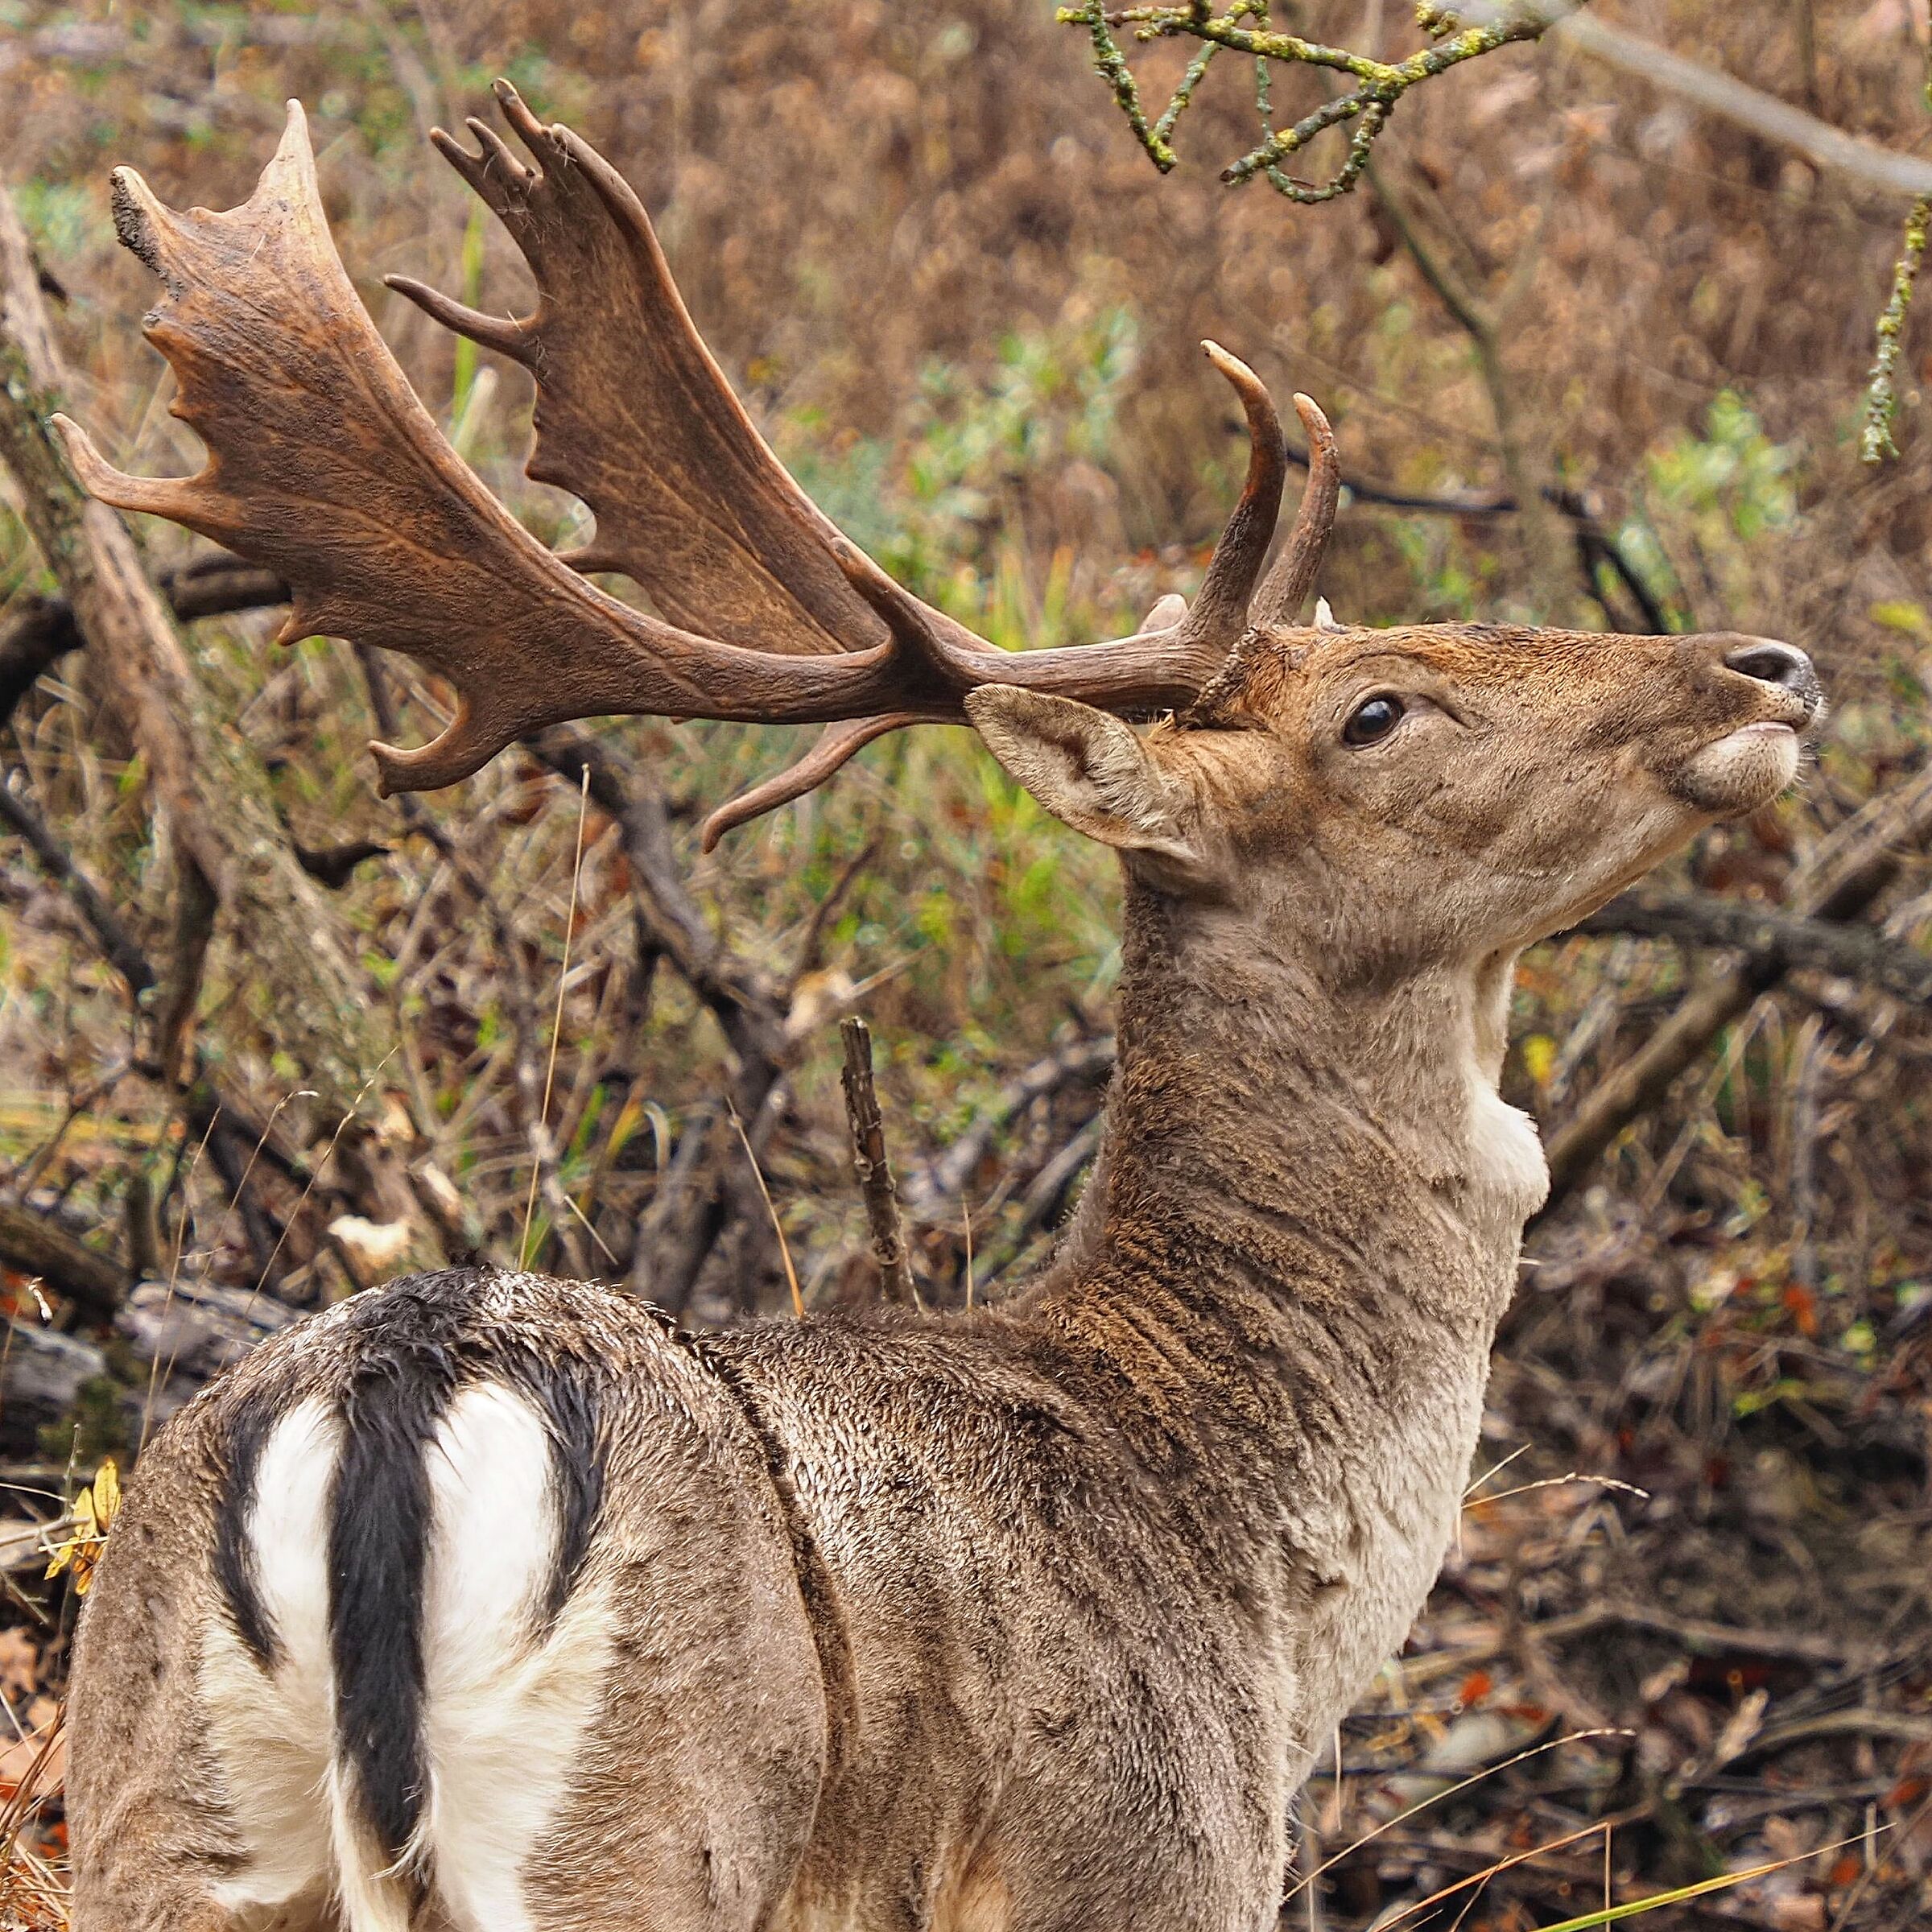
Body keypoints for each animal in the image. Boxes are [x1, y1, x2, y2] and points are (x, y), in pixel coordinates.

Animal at [51, 82, 1822, 1932]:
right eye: (1380, 710)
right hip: (641, 1836)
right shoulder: (1140, 1857)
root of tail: (389, 1401)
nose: (1766, 670)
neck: (1251, 1588)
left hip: (148, 1797)